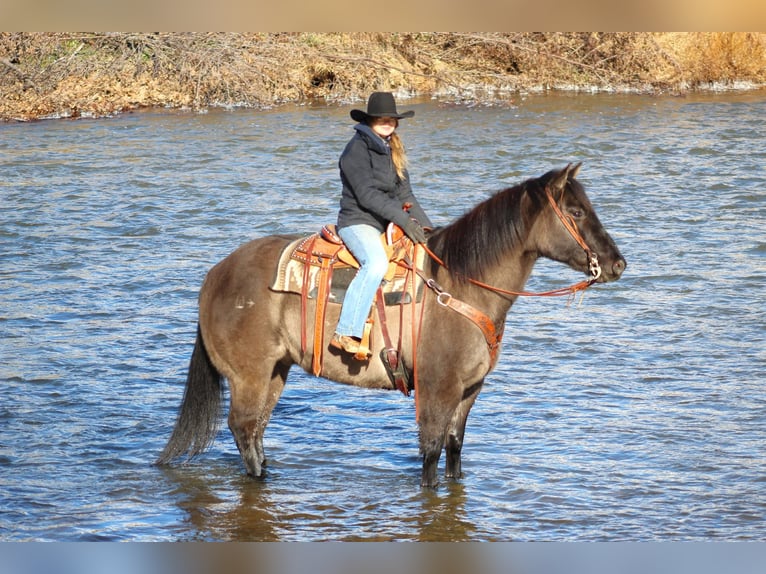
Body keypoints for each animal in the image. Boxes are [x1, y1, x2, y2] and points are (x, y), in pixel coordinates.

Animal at [159, 164, 628, 488]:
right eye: (576, 211)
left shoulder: (469, 392)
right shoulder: (438, 390)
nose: (617, 264)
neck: (460, 285)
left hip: (275, 372)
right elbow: (431, 455)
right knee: (243, 430)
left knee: (254, 431)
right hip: (250, 377)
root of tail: (215, 276)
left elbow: (455, 450)